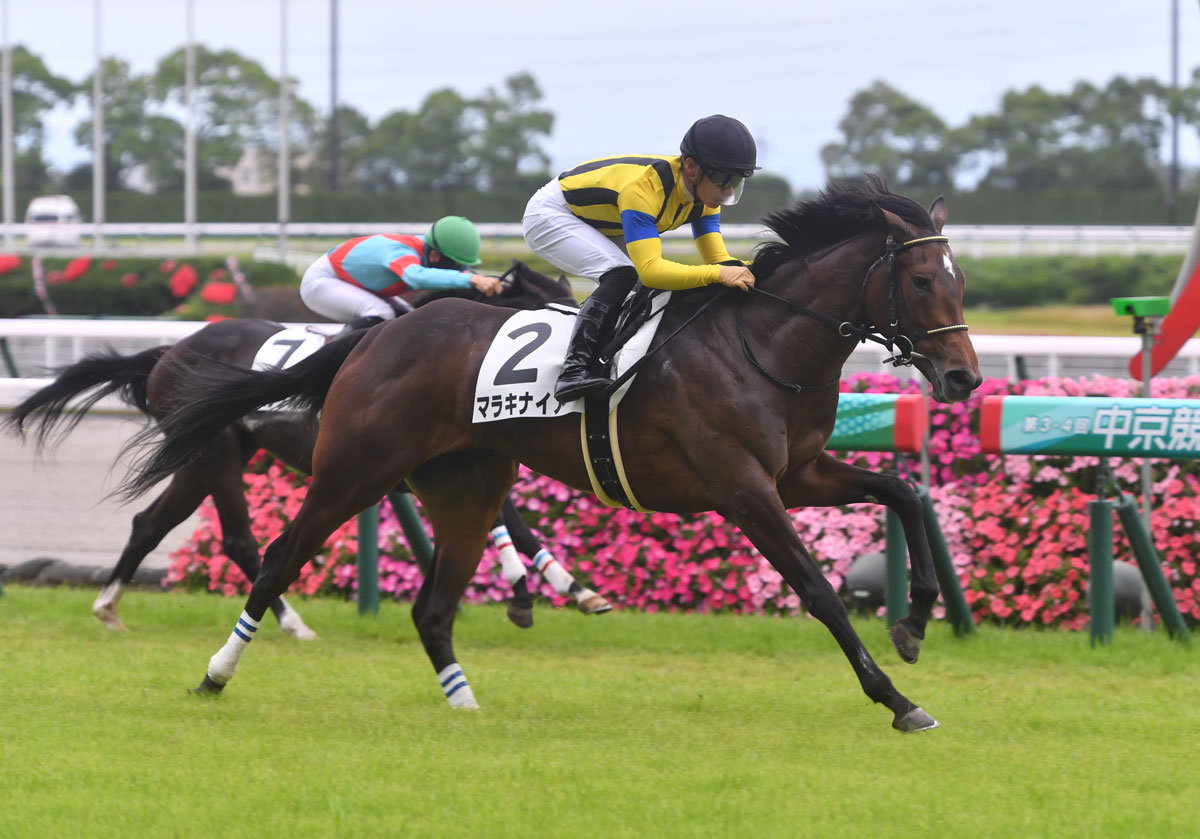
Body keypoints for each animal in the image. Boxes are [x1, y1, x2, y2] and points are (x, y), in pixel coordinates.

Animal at [6, 259, 609, 634]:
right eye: (553, 306)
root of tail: (167, 353)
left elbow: (506, 520)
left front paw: (568, 592)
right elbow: (509, 519)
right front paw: (541, 594)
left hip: (204, 458)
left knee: (150, 523)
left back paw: (108, 607)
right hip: (218, 456)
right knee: (240, 540)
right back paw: (293, 623)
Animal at [120, 177, 982, 732]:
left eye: (961, 280)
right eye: (918, 278)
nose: (965, 376)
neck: (766, 343)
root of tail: (376, 336)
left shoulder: (797, 473)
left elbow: (902, 490)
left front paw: (916, 618)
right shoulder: (743, 488)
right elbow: (819, 590)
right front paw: (899, 699)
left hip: (465, 484)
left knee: (431, 605)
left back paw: (467, 704)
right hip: (352, 471)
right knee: (274, 558)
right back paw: (214, 674)